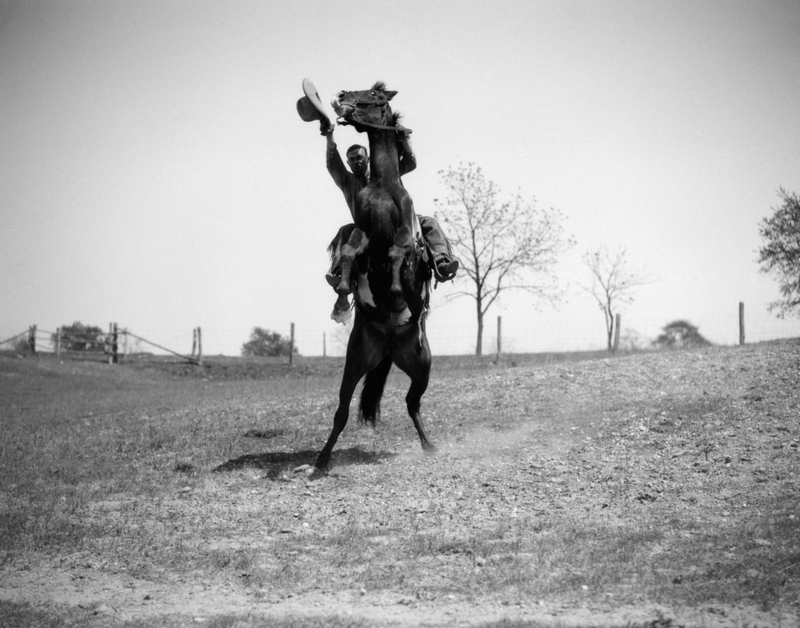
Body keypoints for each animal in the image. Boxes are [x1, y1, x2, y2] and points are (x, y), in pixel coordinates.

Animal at [312, 83, 438, 476]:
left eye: (373, 95)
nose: (340, 96)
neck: (382, 185)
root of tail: (388, 344)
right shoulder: (364, 231)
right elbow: (351, 251)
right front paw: (341, 291)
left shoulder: (403, 234)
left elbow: (398, 252)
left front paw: (397, 291)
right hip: (356, 361)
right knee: (341, 410)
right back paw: (320, 461)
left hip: (421, 365)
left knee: (412, 403)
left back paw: (430, 446)